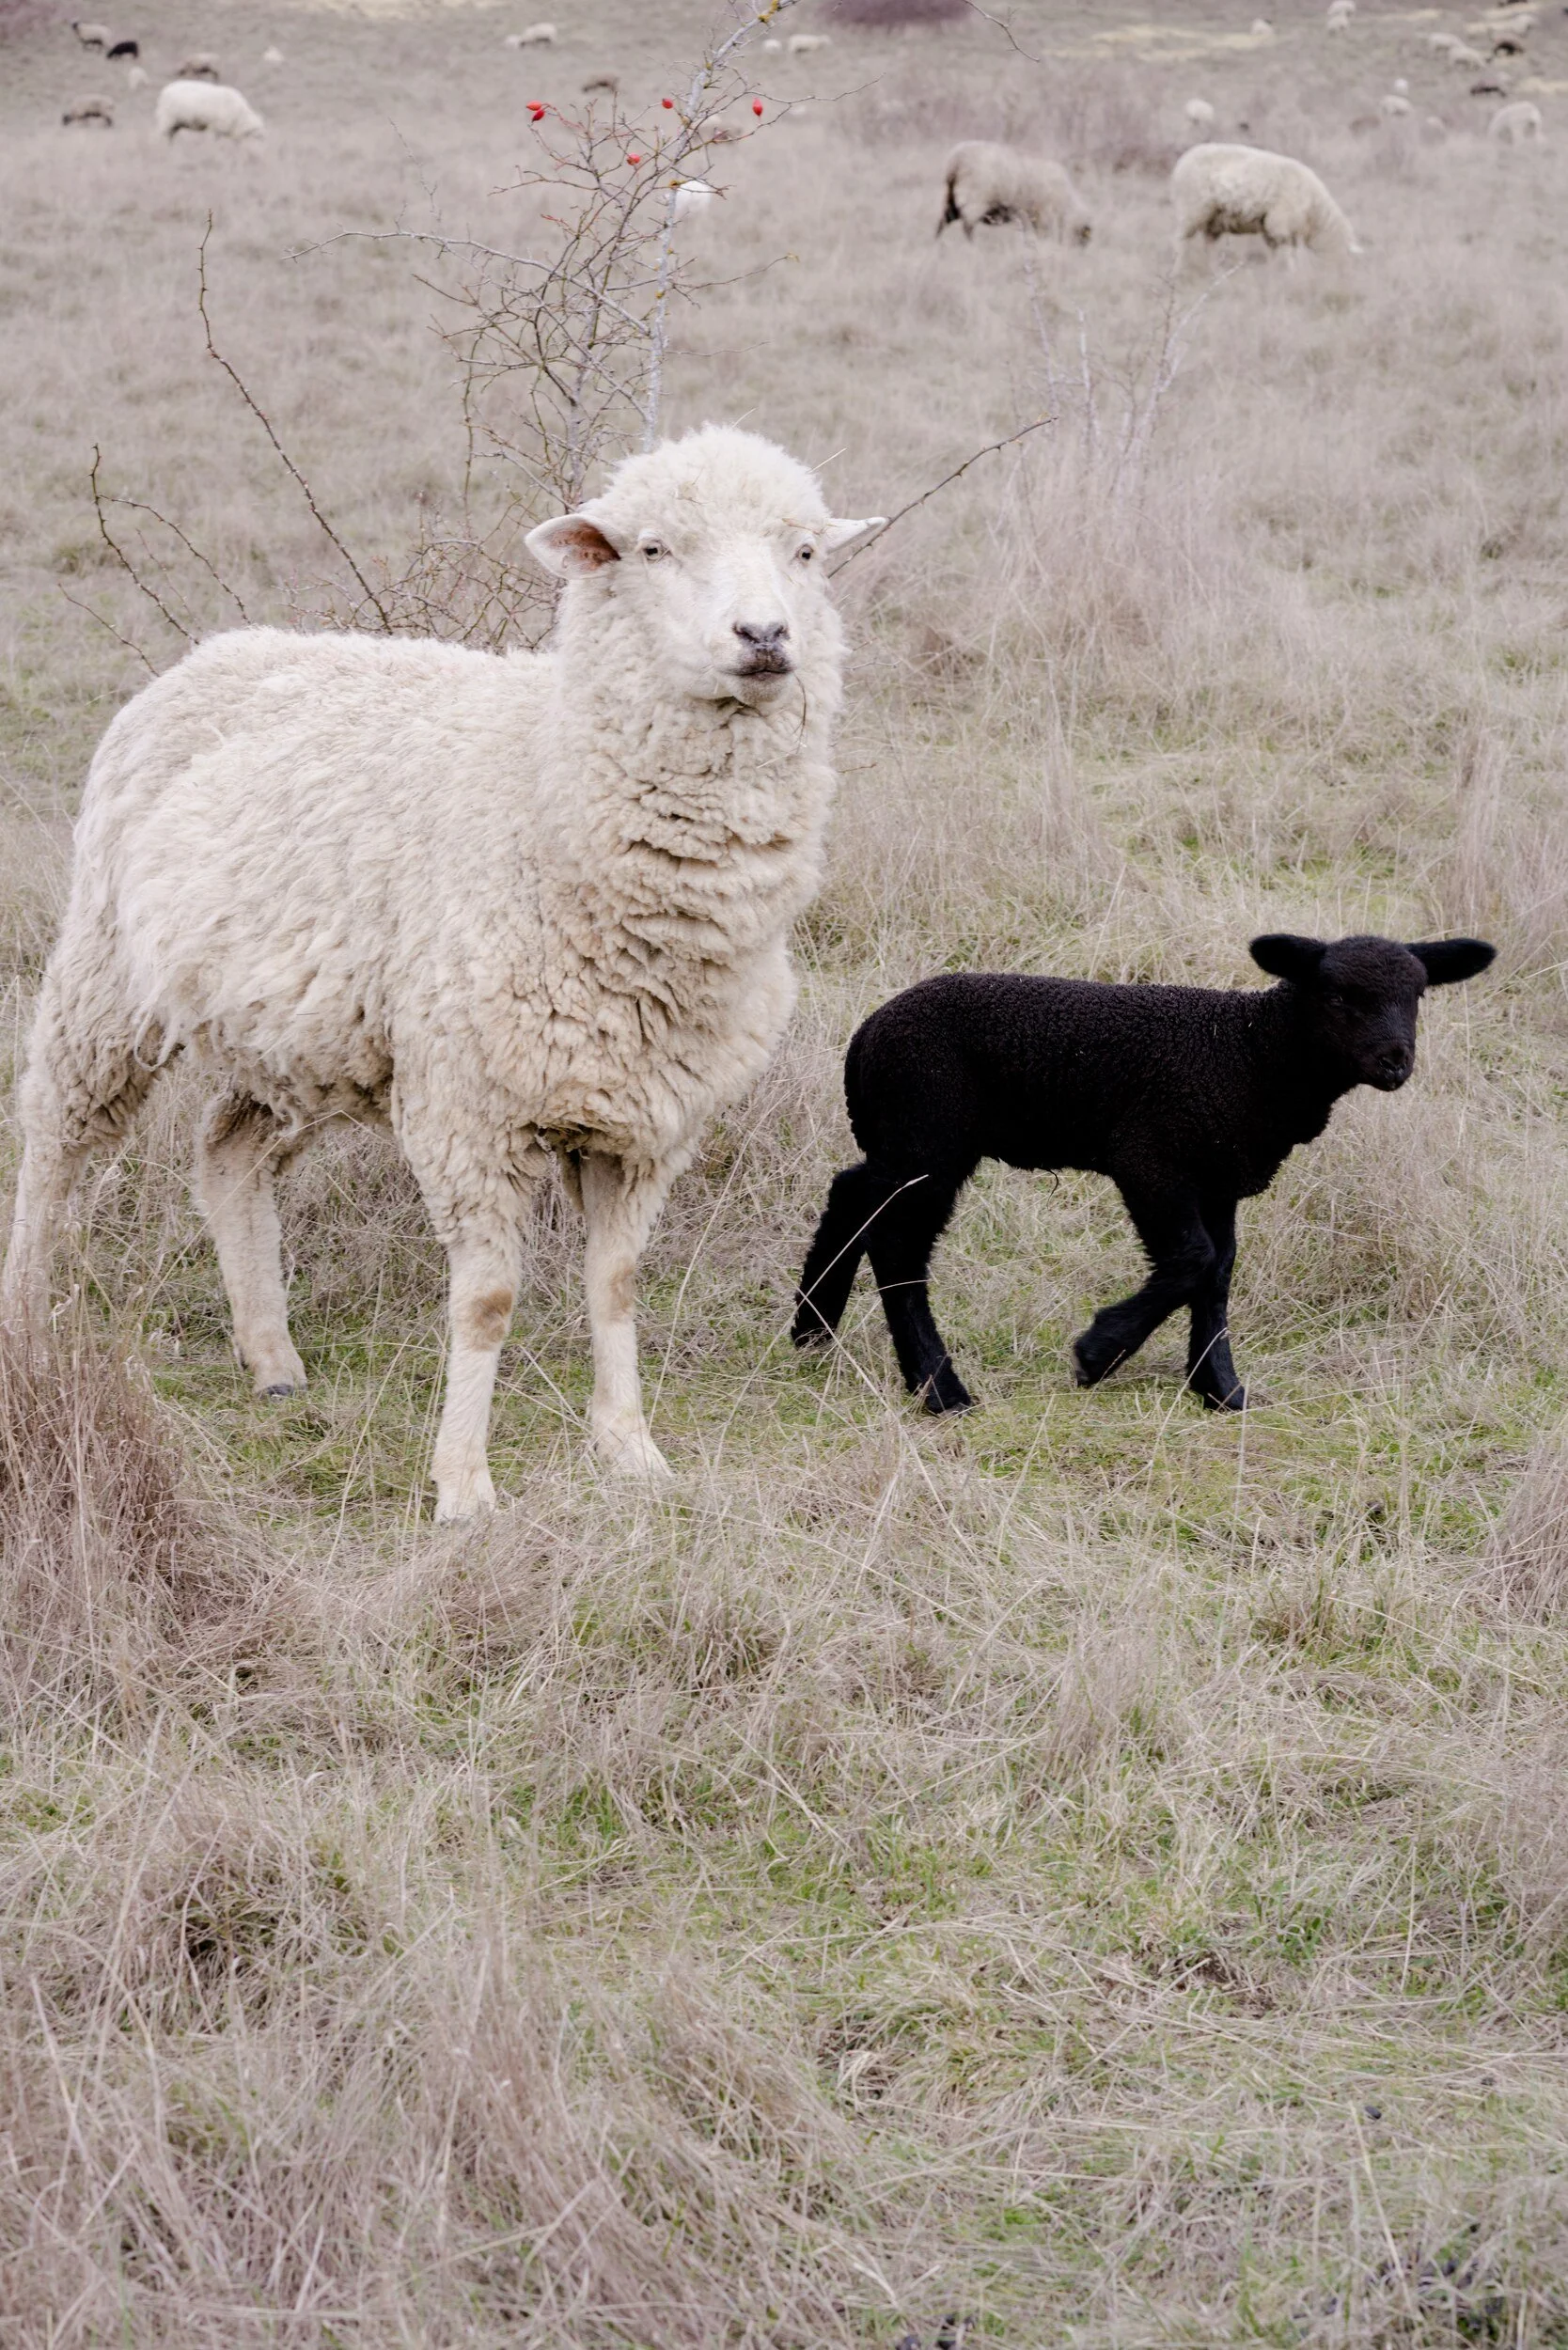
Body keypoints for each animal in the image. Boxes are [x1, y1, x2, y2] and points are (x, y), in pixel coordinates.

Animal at [0, 427, 885, 1523]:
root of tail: (219, 648)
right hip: (107, 974)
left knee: (227, 1151)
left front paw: (629, 1447)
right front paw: (464, 1484)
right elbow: (490, 1300)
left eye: (805, 553)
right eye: (651, 550)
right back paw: (25, 1324)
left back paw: (272, 1356)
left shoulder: (645, 1118)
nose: (764, 634)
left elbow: (617, 1283)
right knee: (55, 1137)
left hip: (304, 1035)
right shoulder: (470, 1106)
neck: (548, 791)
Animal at [792, 934, 1495, 1417]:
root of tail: (865, 1037)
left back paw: (812, 1328)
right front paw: (1098, 1353)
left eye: (1418, 996)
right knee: (897, 1245)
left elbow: (1217, 1273)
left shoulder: (1219, 1178)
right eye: (1338, 995)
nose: (1395, 1062)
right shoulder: (1151, 1158)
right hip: (929, 1132)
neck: (1253, 1054)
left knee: (851, 1193)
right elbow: (1192, 1260)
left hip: (901, 1140)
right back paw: (940, 1389)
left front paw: (1221, 1390)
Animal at [938, 141, 1091, 245]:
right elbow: (1042, 236)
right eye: (1083, 239)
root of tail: (955, 162)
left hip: (950, 200)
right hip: (974, 200)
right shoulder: (1044, 216)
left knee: (942, 223)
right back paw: (972, 247)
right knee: (967, 227)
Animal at [1172, 143, 1362, 260]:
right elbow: (1288, 257)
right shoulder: (1280, 224)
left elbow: (1278, 254)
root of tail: (1182, 161)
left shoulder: (1279, 230)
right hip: (1192, 209)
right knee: (1180, 241)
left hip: (1213, 220)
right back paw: (1178, 272)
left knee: (1208, 245)